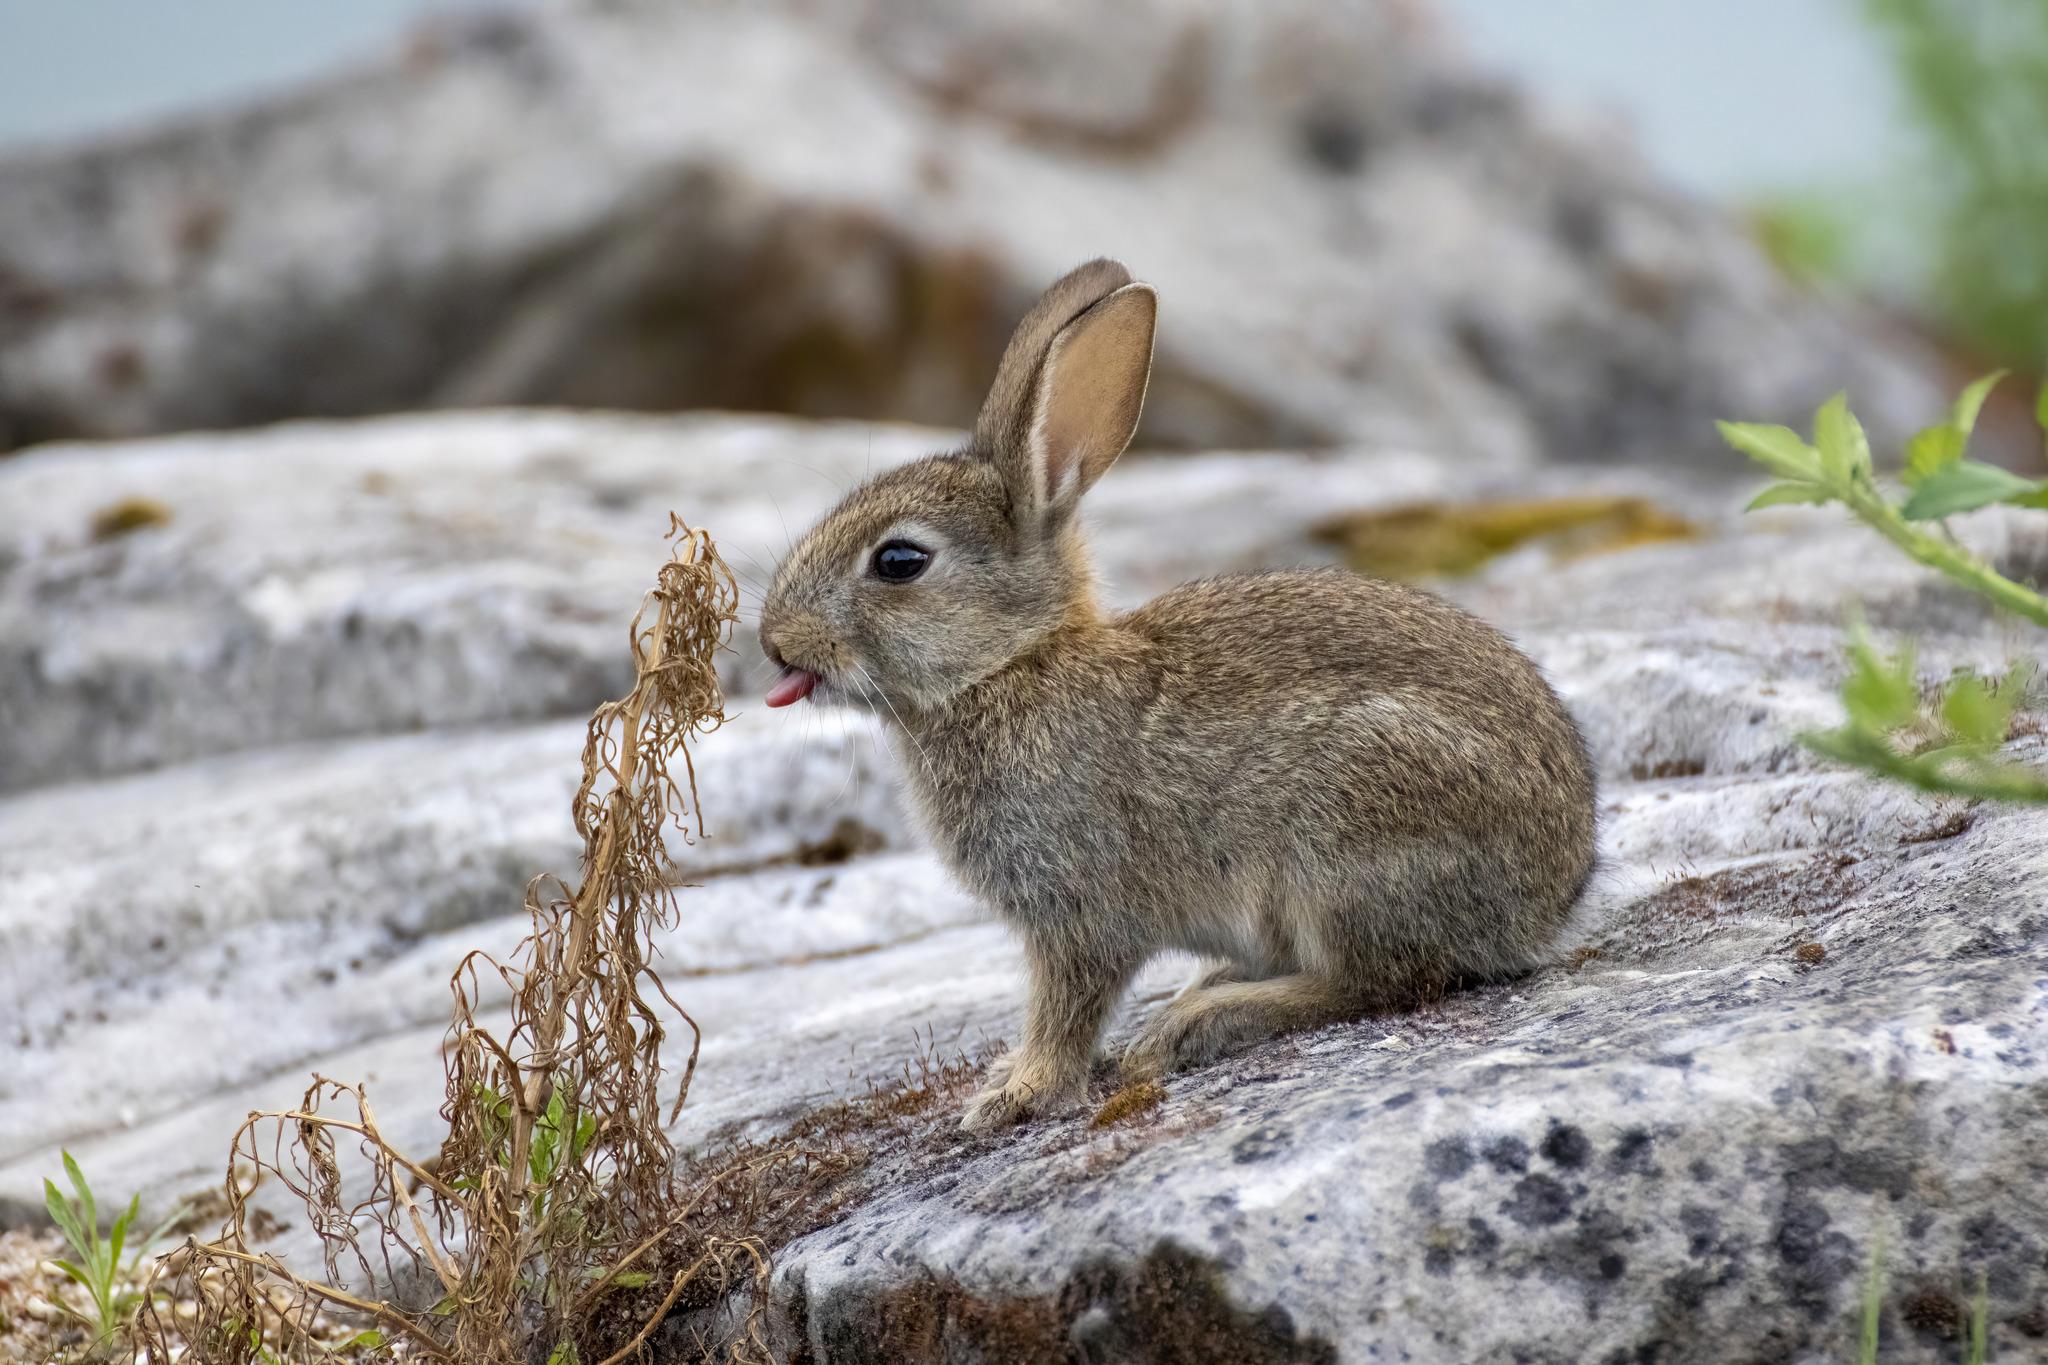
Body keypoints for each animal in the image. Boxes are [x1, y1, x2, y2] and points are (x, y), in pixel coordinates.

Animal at [758, 259, 1597, 1133]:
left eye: (898, 561)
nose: (773, 640)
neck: (1012, 664)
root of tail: (1551, 901)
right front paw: (1010, 1079)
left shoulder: (1079, 910)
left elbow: (1066, 1007)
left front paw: (1016, 1093)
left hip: (1346, 833)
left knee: (1378, 980)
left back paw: (1199, 1021)